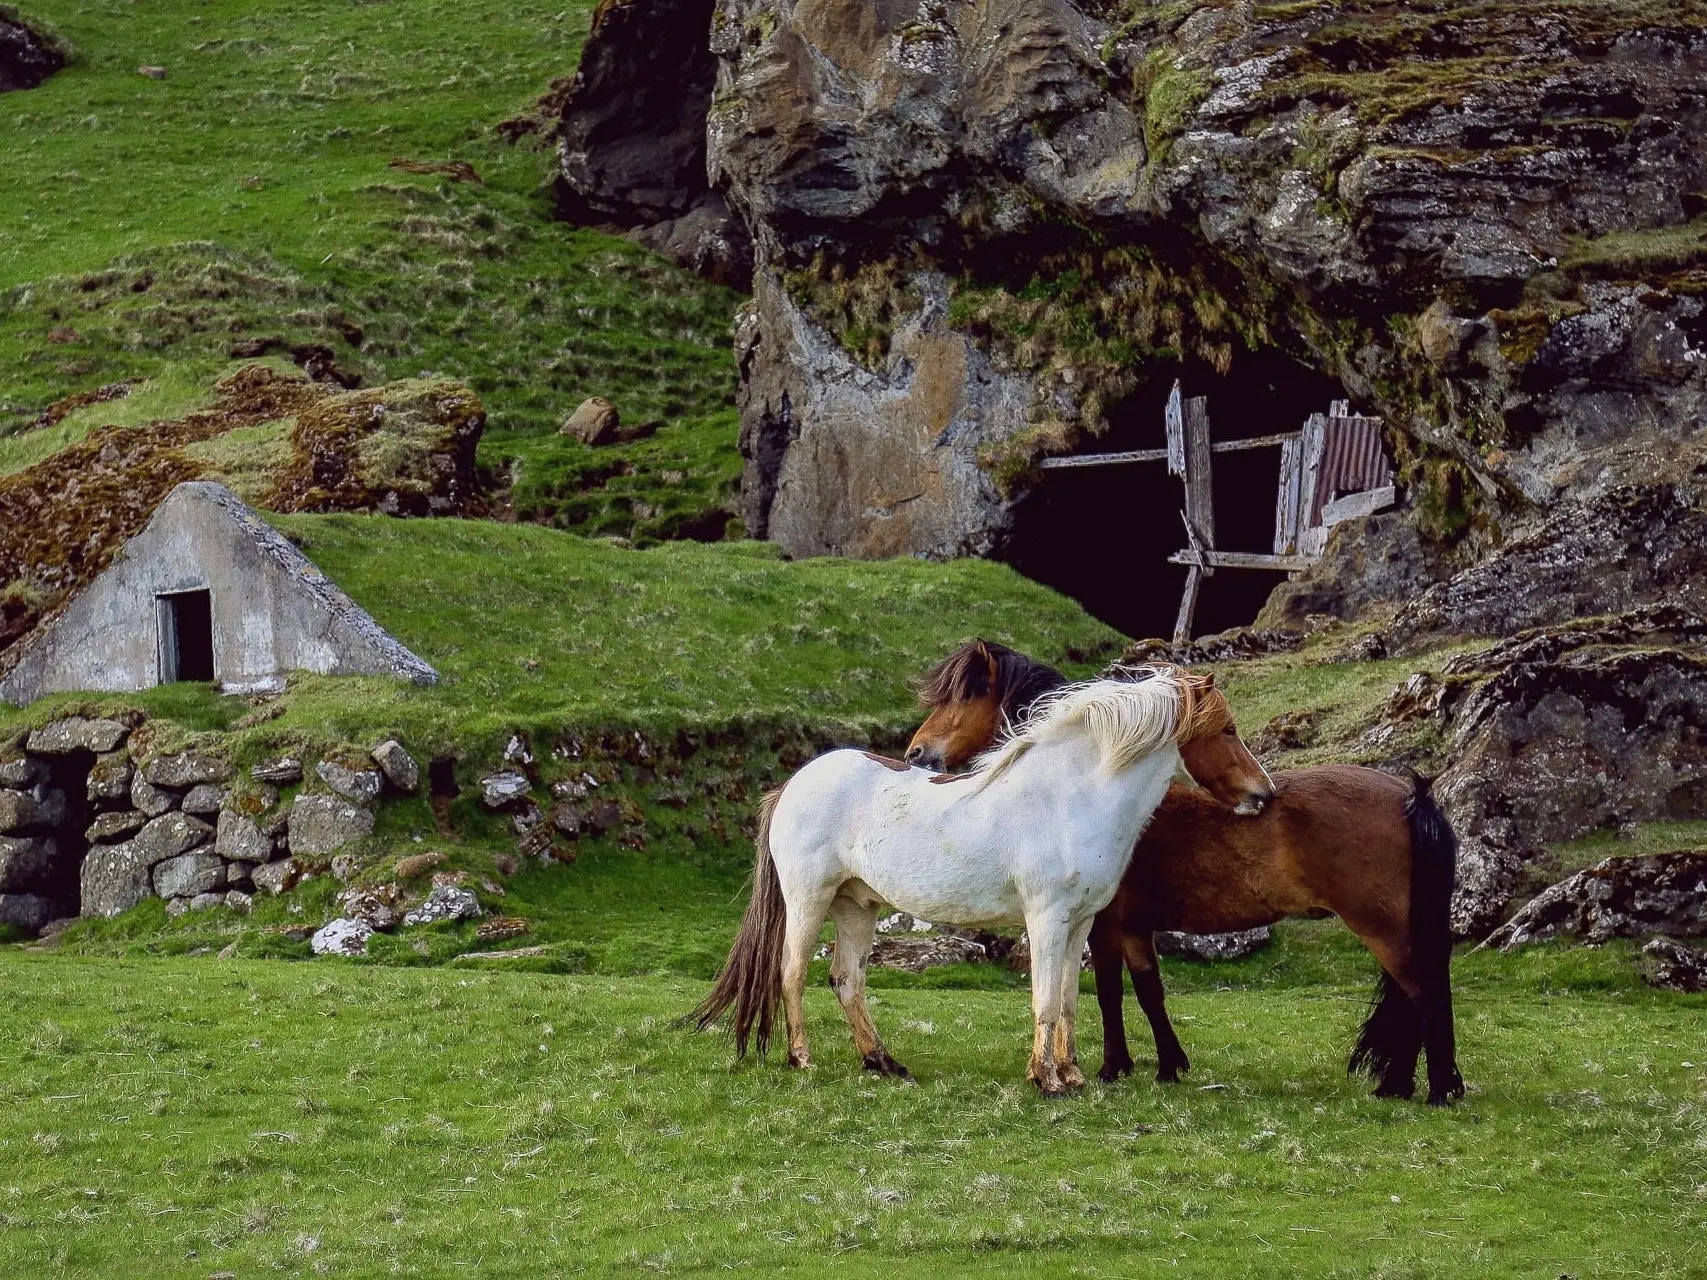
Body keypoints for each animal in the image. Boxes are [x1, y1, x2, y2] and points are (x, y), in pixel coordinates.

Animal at [689, 665, 1270, 1099]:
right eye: (1226, 729)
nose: (1263, 795)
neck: (1070, 799)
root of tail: (792, 784)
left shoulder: (1080, 923)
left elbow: (1067, 999)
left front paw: (1074, 1075)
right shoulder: (1046, 919)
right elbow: (1044, 999)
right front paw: (1046, 1080)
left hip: (858, 906)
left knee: (846, 979)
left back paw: (884, 1062)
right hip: (809, 900)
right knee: (791, 973)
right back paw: (802, 1059)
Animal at [908, 645, 1468, 1105]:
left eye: (962, 698)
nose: (916, 753)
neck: (1093, 790)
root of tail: (1410, 793)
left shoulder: (1106, 924)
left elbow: (1111, 991)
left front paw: (1115, 1067)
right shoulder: (1131, 927)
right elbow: (1148, 990)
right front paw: (1166, 1066)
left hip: (1382, 928)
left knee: (1422, 990)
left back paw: (1438, 1088)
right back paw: (1399, 1085)